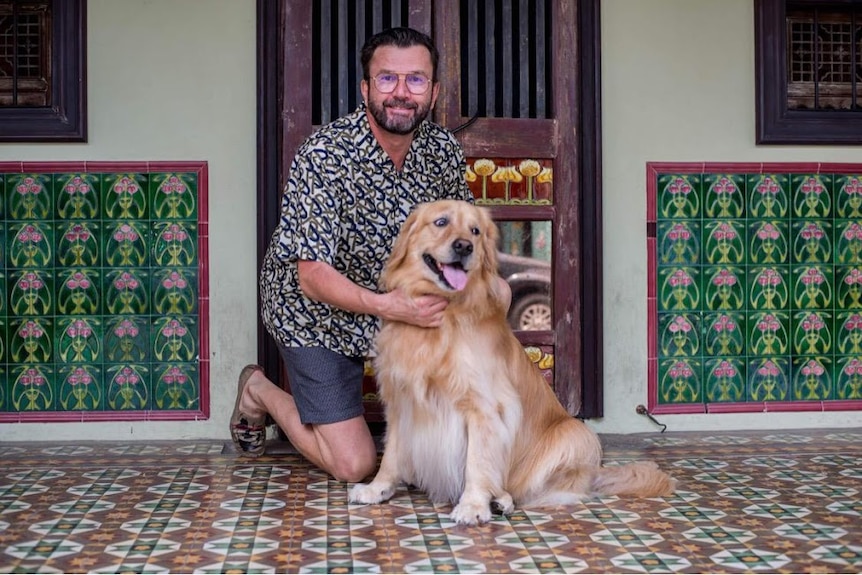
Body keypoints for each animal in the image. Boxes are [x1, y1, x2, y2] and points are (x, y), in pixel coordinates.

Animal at [350, 199, 676, 528]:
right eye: (441, 222)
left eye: (475, 230)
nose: (464, 246)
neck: (445, 316)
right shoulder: (401, 402)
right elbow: (391, 453)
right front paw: (377, 488)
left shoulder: (484, 406)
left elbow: (477, 462)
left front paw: (473, 505)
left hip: (575, 434)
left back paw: (501, 499)